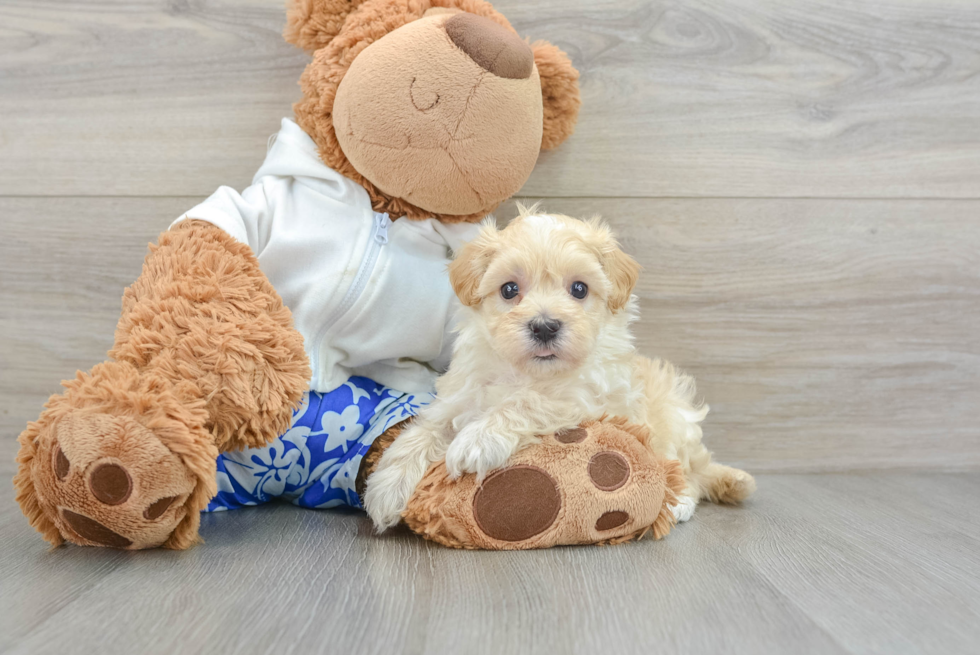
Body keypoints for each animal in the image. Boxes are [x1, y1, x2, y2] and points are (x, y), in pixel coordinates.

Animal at [364, 208, 756, 532]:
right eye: (509, 289)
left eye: (579, 289)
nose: (544, 326)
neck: (527, 373)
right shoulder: (458, 398)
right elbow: (423, 432)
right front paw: (387, 486)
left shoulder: (586, 400)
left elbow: (527, 402)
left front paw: (478, 440)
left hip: (673, 422)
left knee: (685, 472)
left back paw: (679, 503)